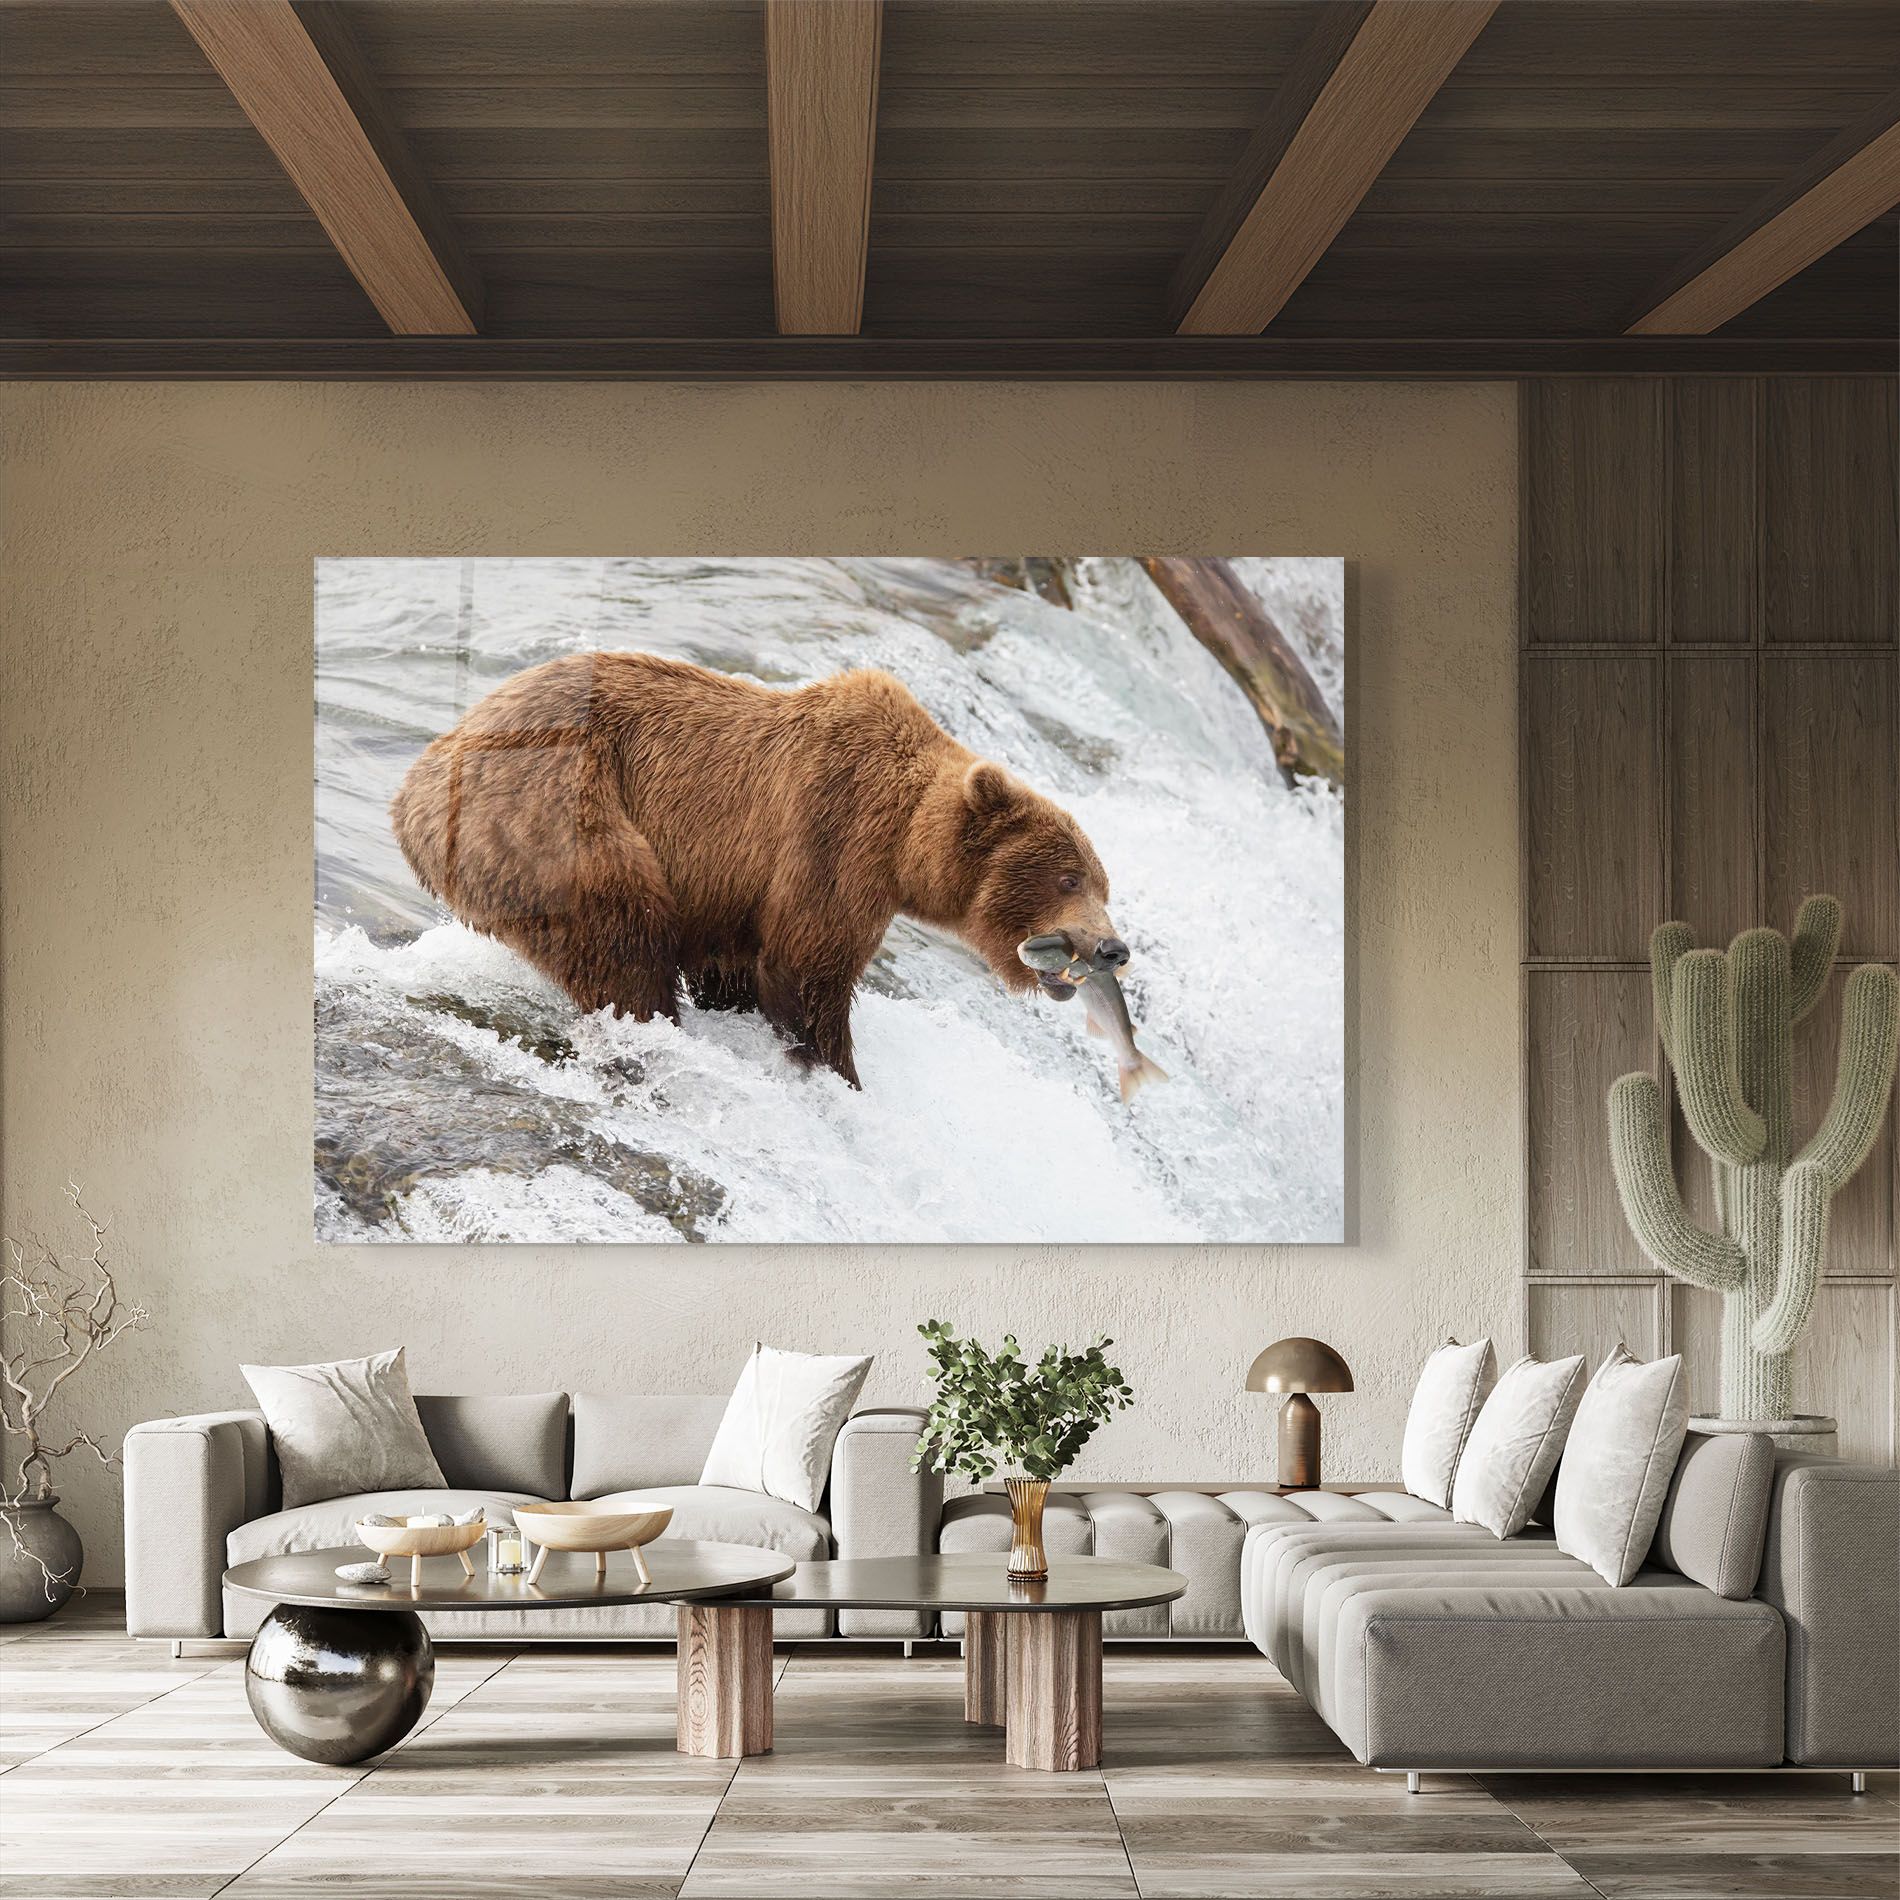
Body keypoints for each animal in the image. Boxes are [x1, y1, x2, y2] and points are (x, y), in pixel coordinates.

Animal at [390, 651, 1128, 1088]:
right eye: (1069, 878)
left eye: (1103, 884)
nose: (1112, 948)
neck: (905, 842)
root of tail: (415, 782)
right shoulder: (834, 835)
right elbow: (807, 970)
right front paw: (838, 1072)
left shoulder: (734, 892)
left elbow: (738, 966)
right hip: (555, 810)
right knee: (622, 932)